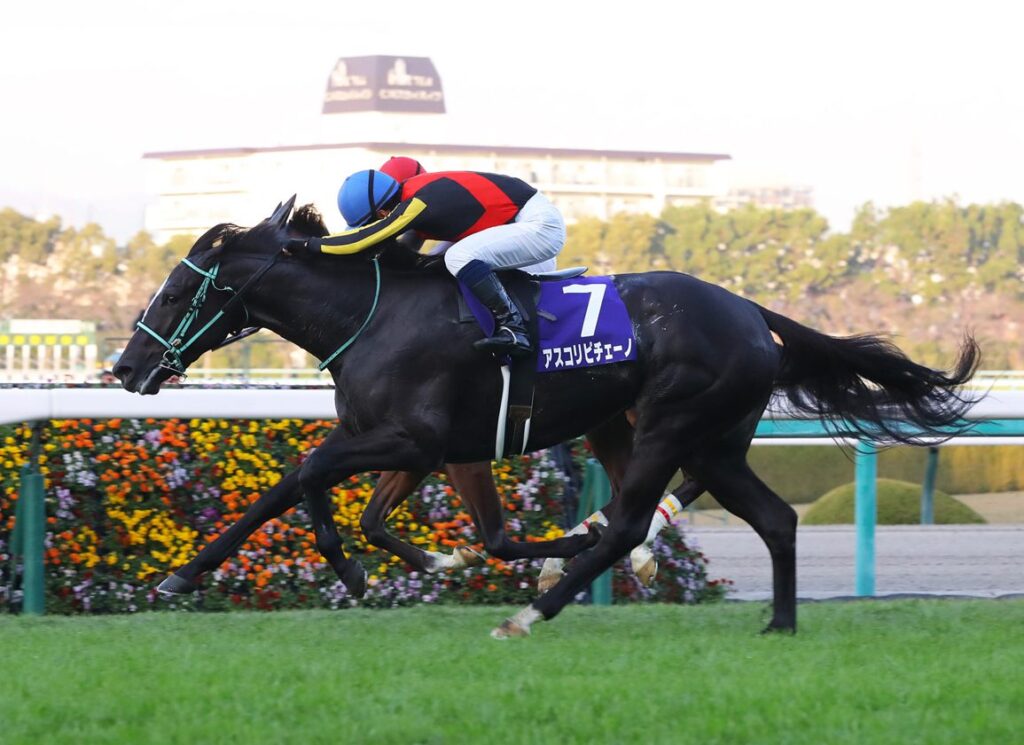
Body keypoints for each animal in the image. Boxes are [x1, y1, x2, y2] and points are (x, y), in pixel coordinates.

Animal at [115, 197, 979, 637]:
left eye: (175, 290)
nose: (124, 368)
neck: (372, 314)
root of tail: (747, 308)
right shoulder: (424, 447)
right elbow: (346, 504)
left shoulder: (412, 438)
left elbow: (305, 475)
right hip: (707, 441)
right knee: (773, 517)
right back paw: (778, 623)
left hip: (671, 422)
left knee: (634, 518)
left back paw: (538, 607)